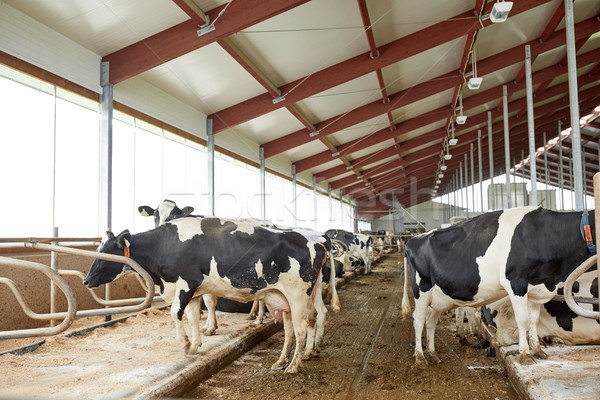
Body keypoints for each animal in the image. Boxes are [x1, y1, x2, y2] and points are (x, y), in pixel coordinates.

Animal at [83, 217, 342, 374]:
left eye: (106, 254)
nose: (85, 281)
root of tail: (317, 239)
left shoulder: (186, 283)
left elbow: (176, 314)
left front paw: (185, 344)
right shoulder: (192, 291)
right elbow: (192, 316)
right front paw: (196, 343)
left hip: (298, 294)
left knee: (301, 327)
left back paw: (294, 365)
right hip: (289, 297)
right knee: (304, 322)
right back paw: (288, 359)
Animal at [404, 208, 596, 368]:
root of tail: (413, 240)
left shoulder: (537, 287)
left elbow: (533, 320)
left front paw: (538, 350)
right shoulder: (516, 283)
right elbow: (523, 320)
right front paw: (525, 355)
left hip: (438, 297)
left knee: (431, 322)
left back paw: (433, 354)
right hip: (422, 289)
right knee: (418, 319)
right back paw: (420, 358)